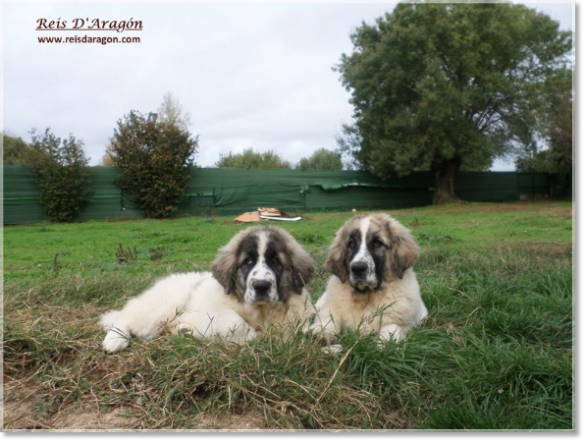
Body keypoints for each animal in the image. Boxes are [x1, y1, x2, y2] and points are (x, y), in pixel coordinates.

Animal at [99, 225, 314, 354]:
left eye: (276, 261)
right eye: (248, 261)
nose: (261, 285)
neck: (260, 311)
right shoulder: (210, 314)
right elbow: (234, 320)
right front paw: (254, 336)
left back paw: (185, 330)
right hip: (167, 303)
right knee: (126, 316)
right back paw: (115, 340)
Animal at [310, 213, 424, 346]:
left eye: (377, 243)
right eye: (351, 244)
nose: (357, 268)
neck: (366, 296)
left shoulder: (406, 323)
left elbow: (391, 327)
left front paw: (383, 343)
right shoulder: (329, 309)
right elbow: (328, 320)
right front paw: (321, 334)